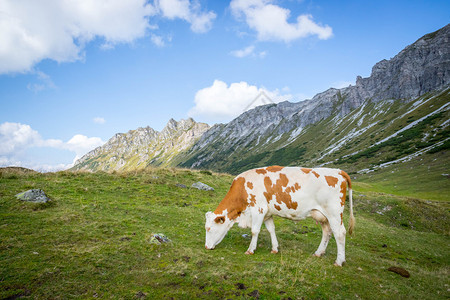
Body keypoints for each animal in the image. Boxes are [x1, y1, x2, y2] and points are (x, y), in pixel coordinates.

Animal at [204, 165, 356, 266]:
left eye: (209, 229)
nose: (206, 247)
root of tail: (338, 171)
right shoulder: (267, 213)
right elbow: (271, 229)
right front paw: (274, 249)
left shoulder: (258, 209)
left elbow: (254, 231)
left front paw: (250, 250)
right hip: (322, 215)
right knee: (327, 232)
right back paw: (319, 252)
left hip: (334, 213)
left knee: (340, 233)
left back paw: (339, 261)